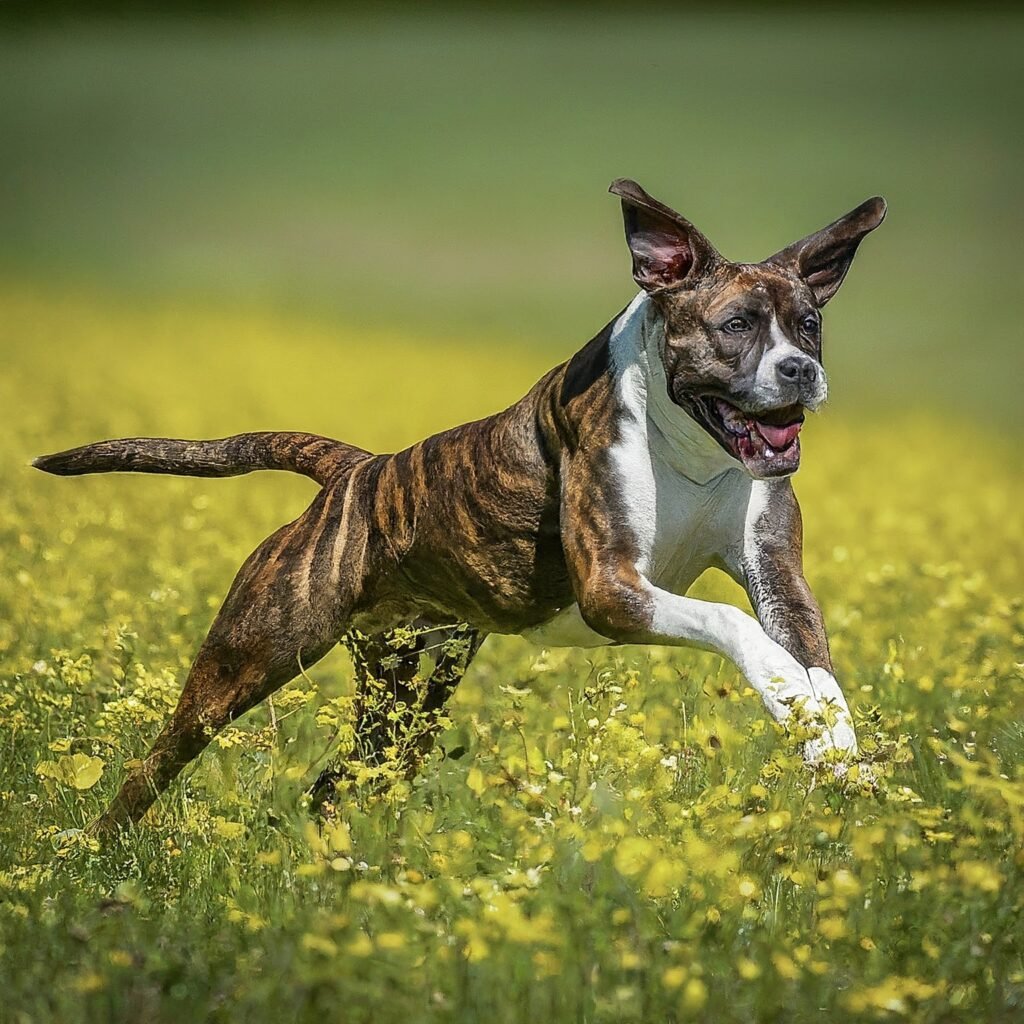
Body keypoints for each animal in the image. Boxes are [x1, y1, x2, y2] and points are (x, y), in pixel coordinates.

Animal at [36, 178, 888, 831]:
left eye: (809, 325)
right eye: (735, 326)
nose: (800, 369)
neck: (694, 452)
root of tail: (357, 473)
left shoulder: (777, 574)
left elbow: (817, 665)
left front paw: (836, 749)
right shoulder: (613, 588)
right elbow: (731, 621)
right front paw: (788, 700)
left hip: (408, 691)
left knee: (338, 783)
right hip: (251, 656)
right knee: (156, 763)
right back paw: (98, 857)